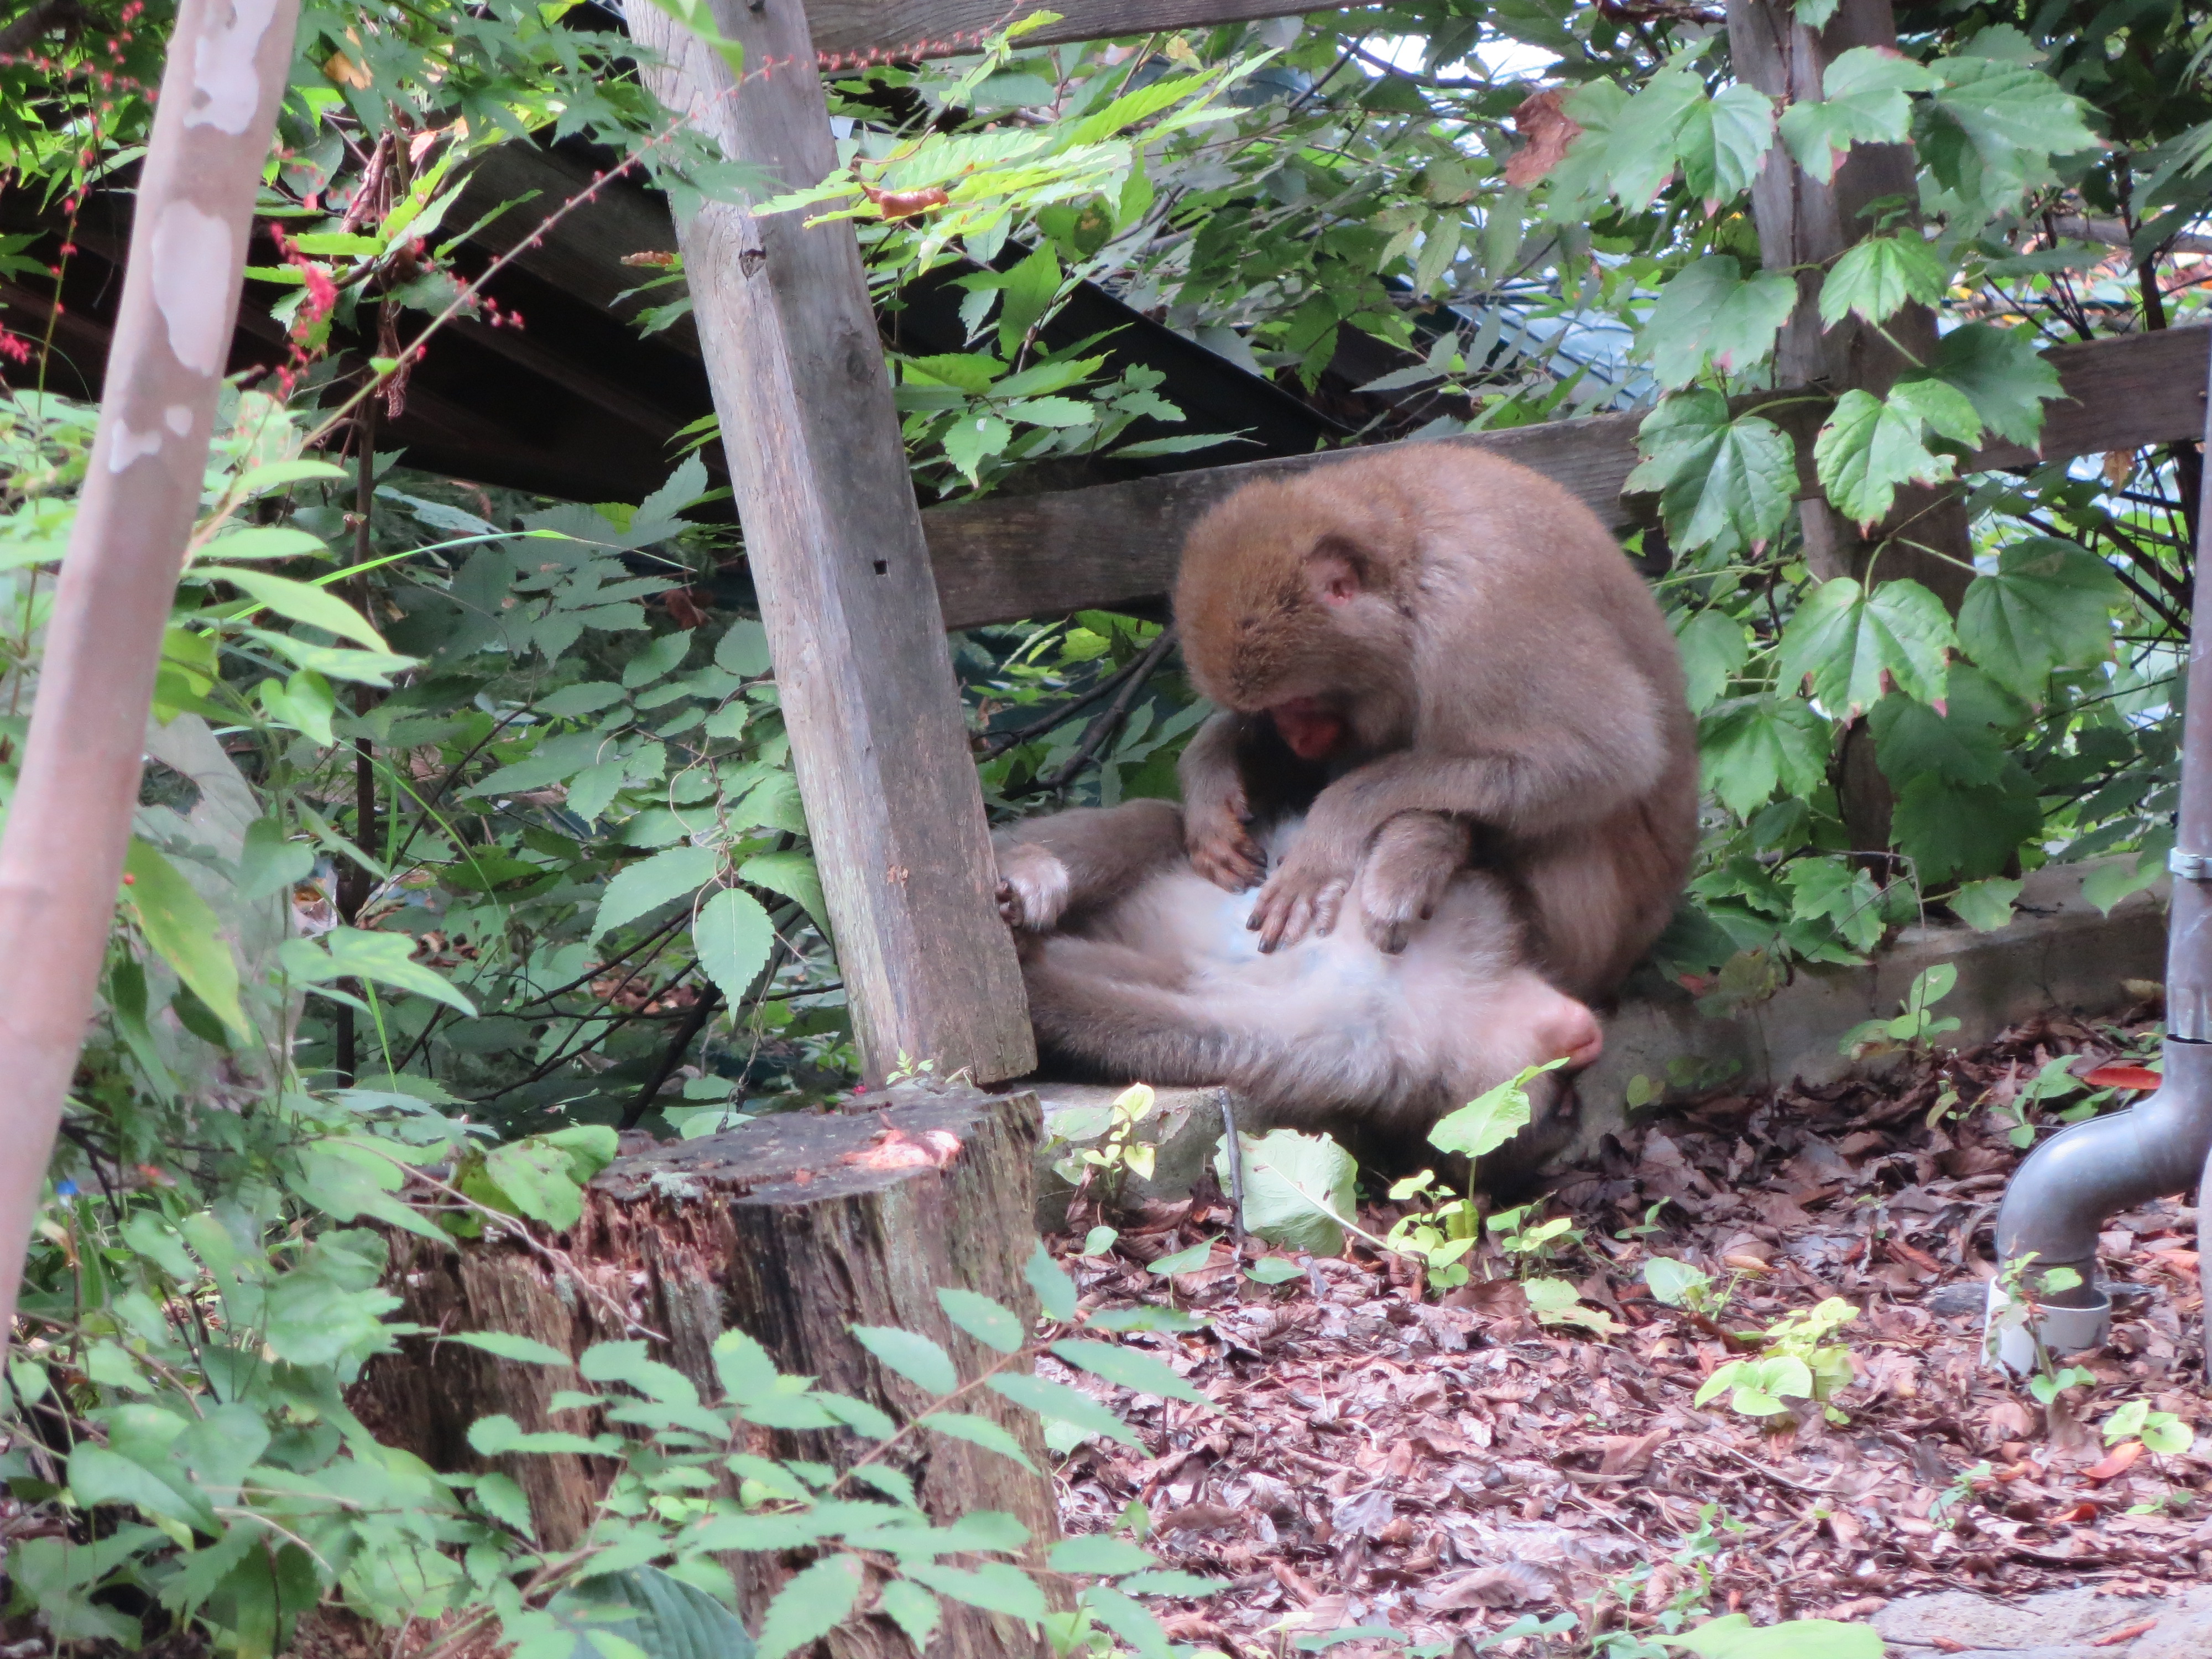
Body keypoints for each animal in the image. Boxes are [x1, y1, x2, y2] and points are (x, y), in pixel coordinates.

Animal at [992, 798, 1603, 1149]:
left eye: (1565, 1104)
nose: (1590, 1042)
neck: (1460, 994)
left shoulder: (1357, 1054)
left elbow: (1188, 1028)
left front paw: (1030, 985)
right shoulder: (1478, 917)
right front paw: (1403, 869)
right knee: (1161, 822)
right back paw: (1023, 874)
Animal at [1172, 444, 1700, 1005]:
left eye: (1301, 700)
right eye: (1272, 709)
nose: (1296, 737)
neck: (1408, 567)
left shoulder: (1485, 618)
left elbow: (1607, 759)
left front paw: (1334, 831)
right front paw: (1212, 768)